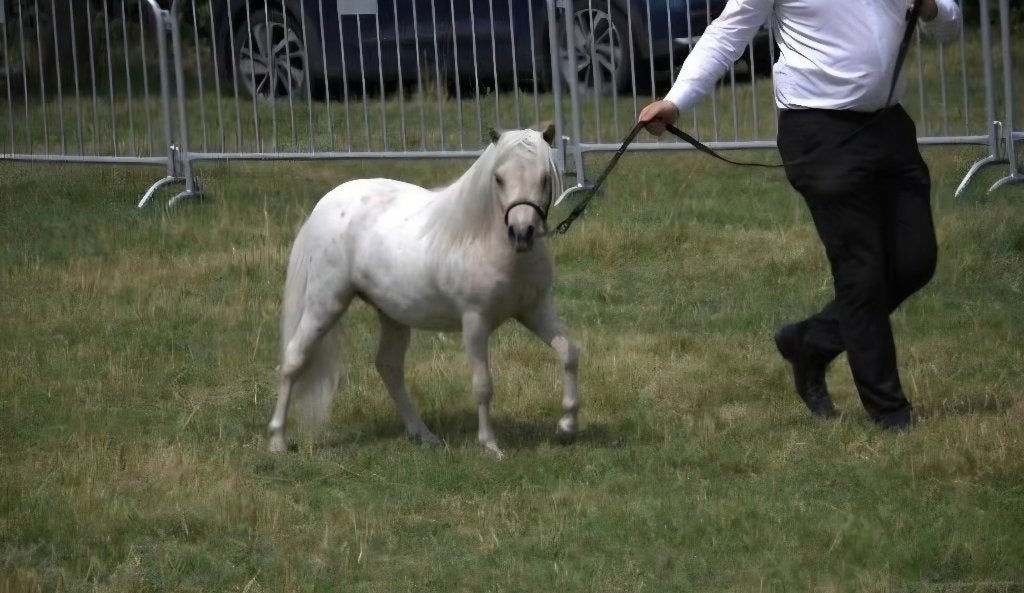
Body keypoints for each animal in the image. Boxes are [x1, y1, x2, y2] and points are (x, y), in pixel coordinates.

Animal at [267, 125, 580, 458]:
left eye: (544, 178)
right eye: (499, 178)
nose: (522, 234)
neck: (484, 241)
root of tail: (327, 204)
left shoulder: (535, 310)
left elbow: (569, 353)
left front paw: (567, 426)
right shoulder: (475, 322)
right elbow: (482, 385)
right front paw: (490, 445)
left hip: (392, 314)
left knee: (389, 367)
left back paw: (423, 434)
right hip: (325, 303)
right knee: (295, 359)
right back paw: (277, 440)